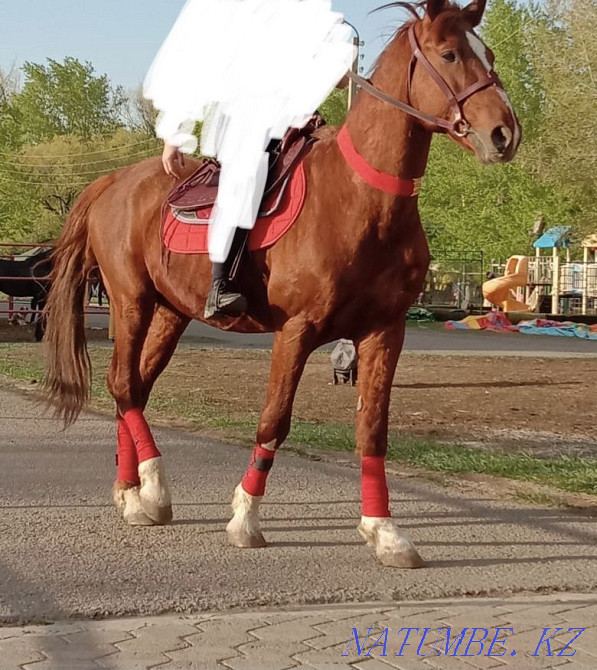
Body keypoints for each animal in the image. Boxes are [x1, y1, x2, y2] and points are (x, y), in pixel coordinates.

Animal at [43, 0, 520, 568]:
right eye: (449, 54)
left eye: (489, 55)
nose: (504, 133)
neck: (362, 201)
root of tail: (113, 181)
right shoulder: (296, 331)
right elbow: (274, 420)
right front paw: (245, 519)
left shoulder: (385, 333)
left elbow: (372, 429)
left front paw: (384, 530)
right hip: (130, 302)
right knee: (122, 384)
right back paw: (152, 490)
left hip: (169, 313)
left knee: (134, 388)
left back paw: (131, 491)